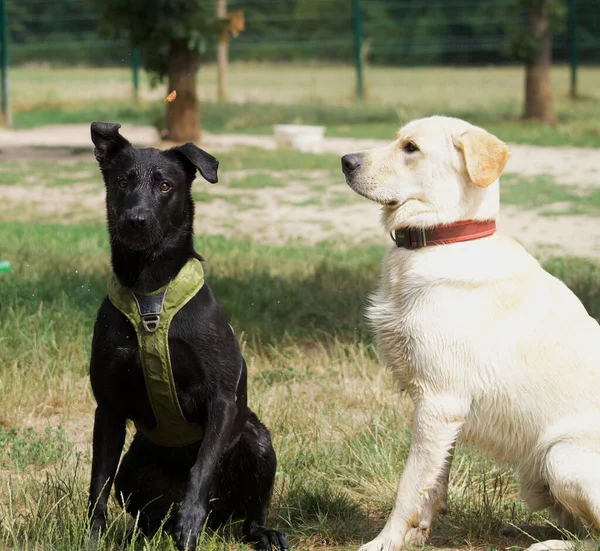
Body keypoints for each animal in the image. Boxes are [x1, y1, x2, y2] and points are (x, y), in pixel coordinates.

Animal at [86, 124, 288, 551]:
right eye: (122, 181)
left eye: (165, 185)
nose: (137, 219)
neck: (150, 290)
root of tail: (221, 516)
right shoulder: (107, 409)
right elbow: (98, 483)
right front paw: (90, 537)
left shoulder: (222, 402)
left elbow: (202, 466)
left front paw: (189, 521)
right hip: (134, 469)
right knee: (144, 514)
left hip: (257, 440)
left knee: (251, 513)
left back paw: (260, 531)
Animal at [342, 116, 600, 551]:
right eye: (396, 139)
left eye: (410, 148)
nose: (345, 160)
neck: (442, 237)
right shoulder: (443, 410)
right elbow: (433, 482)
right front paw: (417, 535)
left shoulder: (439, 402)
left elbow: (408, 486)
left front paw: (384, 542)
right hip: (538, 476)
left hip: (560, 457)